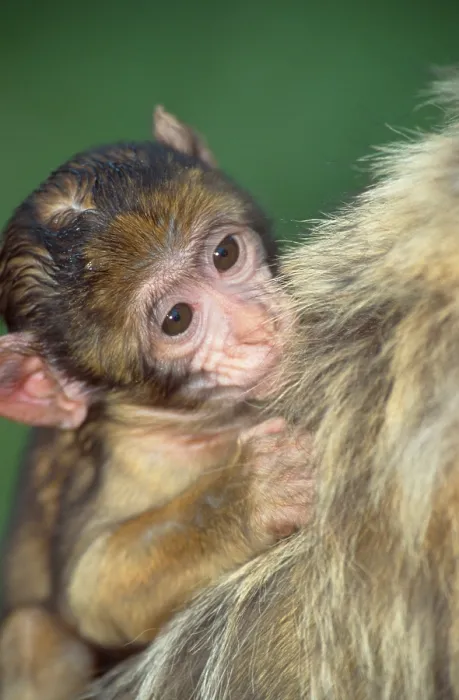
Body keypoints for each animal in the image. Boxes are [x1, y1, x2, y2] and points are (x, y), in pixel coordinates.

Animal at [0, 106, 316, 700]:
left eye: (224, 254)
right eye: (176, 320)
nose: (254, 327)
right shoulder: (137, 458)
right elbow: (92, 587)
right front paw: (247, 497)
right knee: (34, 633)